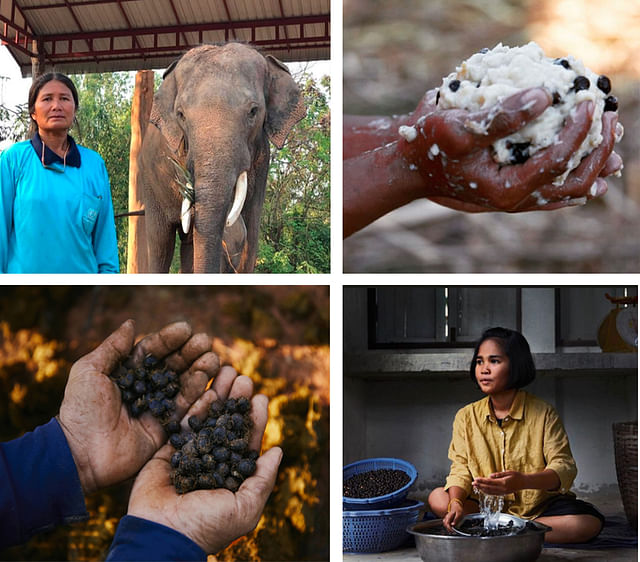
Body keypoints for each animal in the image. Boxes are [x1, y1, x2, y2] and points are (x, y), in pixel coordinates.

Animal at [136, 41, 306, 272]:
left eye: (253, 111)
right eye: (181, 115)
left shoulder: (262, 159)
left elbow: (251, 232)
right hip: (149, 183)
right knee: (160, 243)